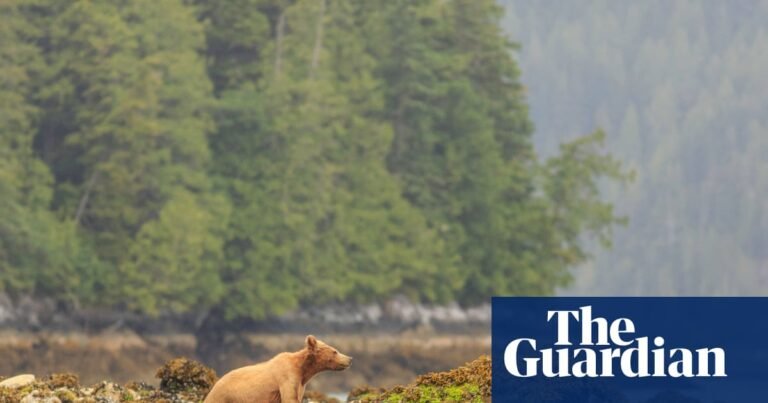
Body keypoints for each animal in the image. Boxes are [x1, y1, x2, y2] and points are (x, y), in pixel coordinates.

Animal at [203, 335, 352, 403]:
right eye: (335, 351)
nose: (350, 359)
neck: (303, 370)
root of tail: (215, 384)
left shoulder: (300, 383)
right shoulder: (287, 377)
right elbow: (290, 398)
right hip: (227, 396)